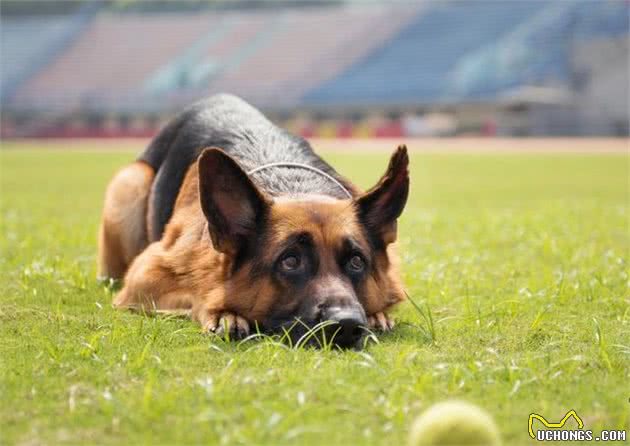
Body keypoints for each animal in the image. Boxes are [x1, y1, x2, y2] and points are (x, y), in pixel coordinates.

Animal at [99, 94, 410, 348]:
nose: (346, 325)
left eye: (357, 261)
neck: (293, 186)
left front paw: (377, 314)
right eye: (290, 261)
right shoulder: (145, 276)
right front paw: (224, 312)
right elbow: (199, 292)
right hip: (129, 184)